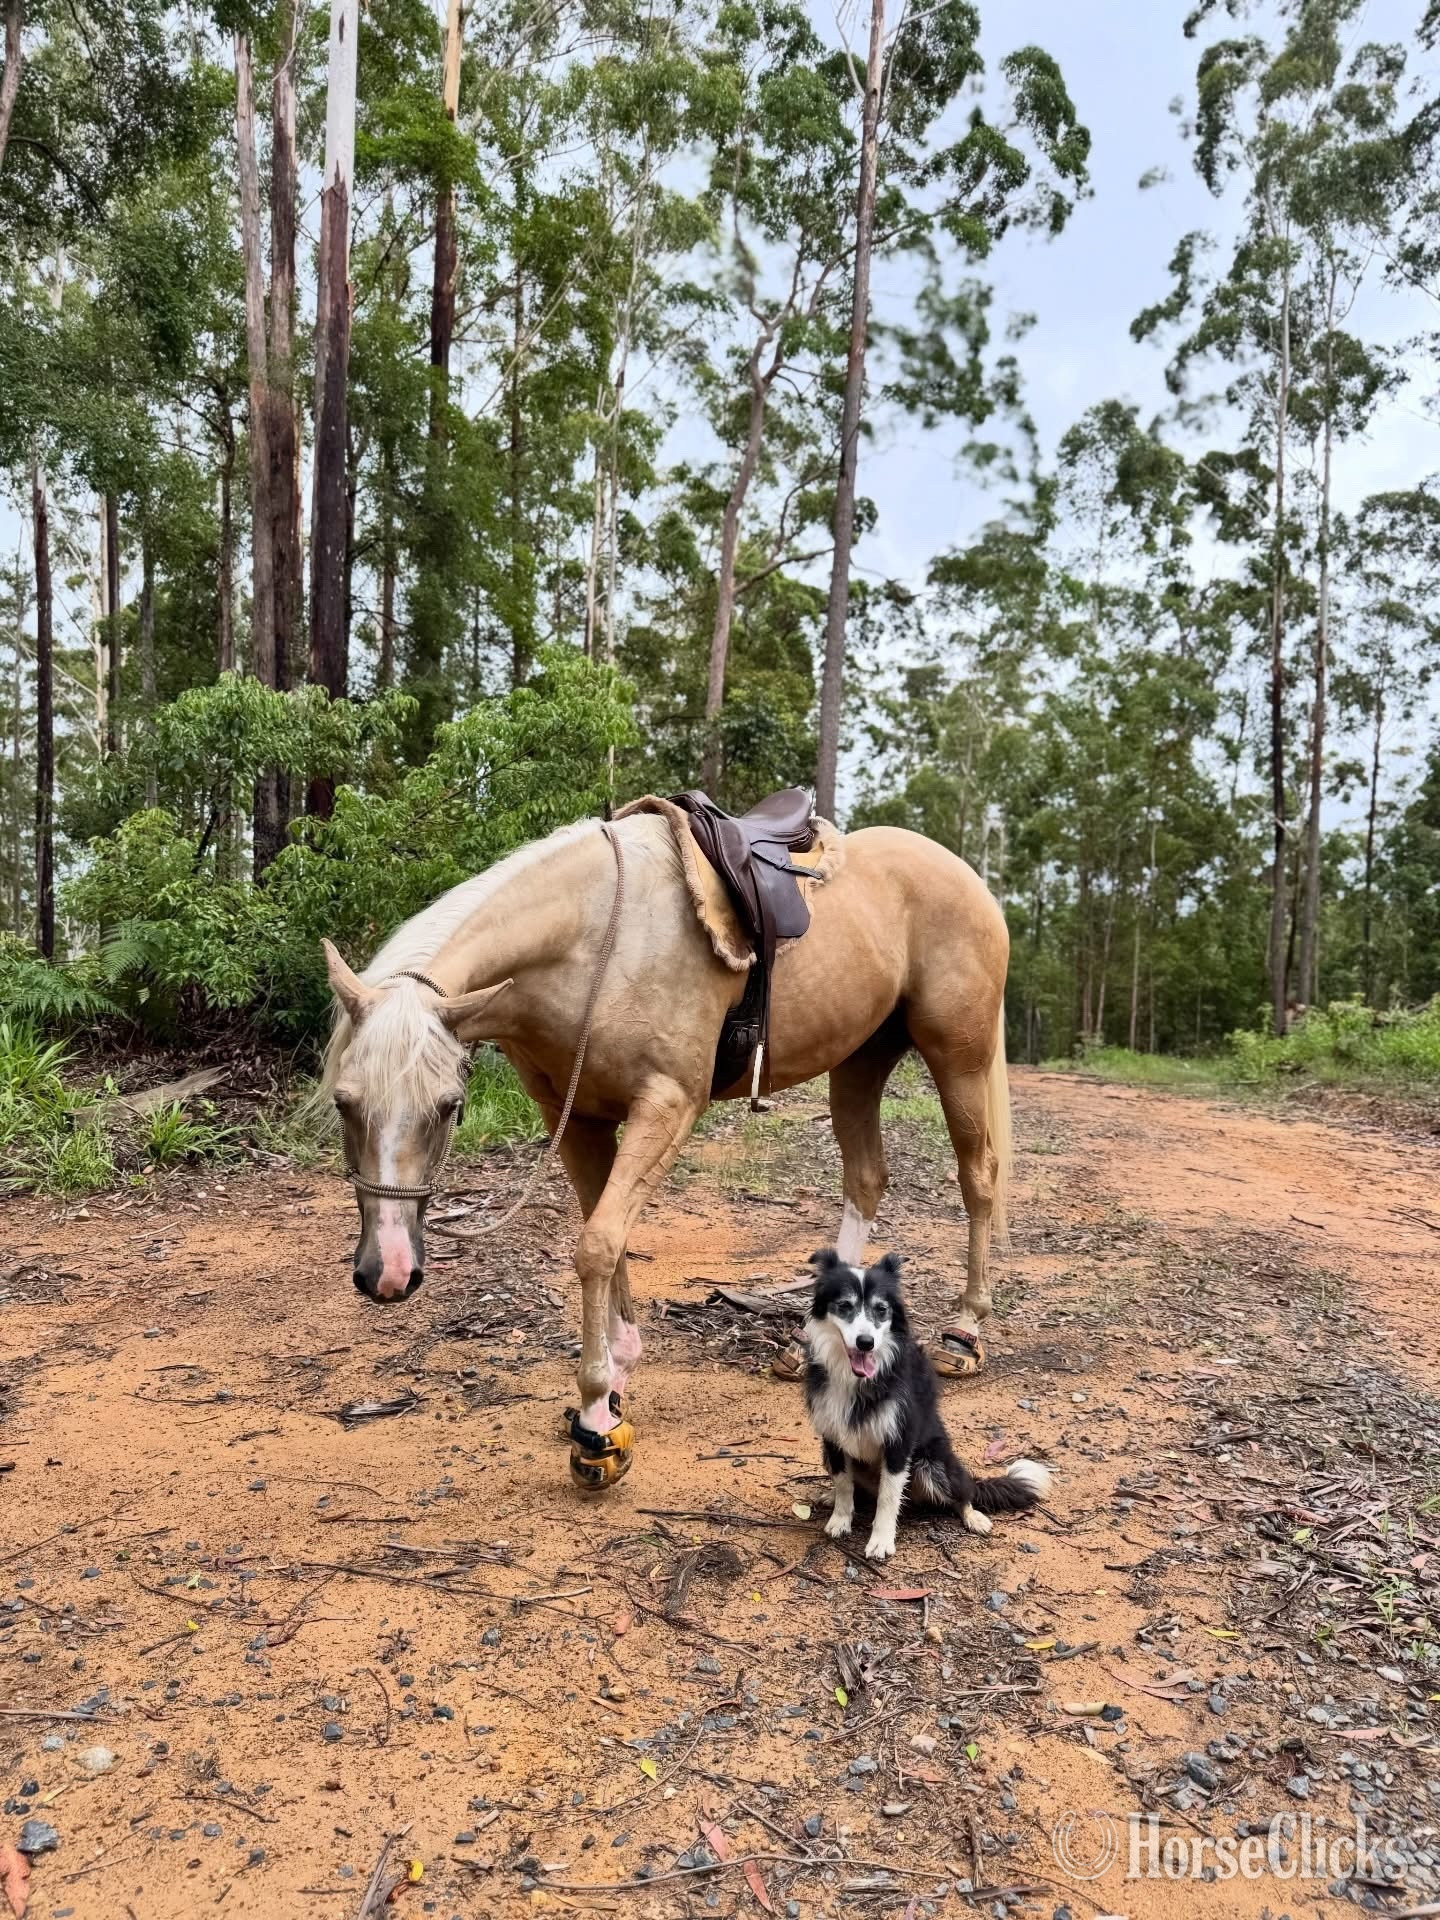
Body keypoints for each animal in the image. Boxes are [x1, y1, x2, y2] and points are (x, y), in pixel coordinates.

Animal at [320, 807, 1011, 1489]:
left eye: (448, 1106)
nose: (388, 1275)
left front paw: (596, 1426)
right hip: (860, 1061)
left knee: (978, 1177)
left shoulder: (668, 1106)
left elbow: (597, 1245)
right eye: (343, 1103)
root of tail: (969, 880)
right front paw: (616, 1378)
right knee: (866, 1178)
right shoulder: (577, 1119)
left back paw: (965, 1329)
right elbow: (608, 1239)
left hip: (959, 1055)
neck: (595, 942)